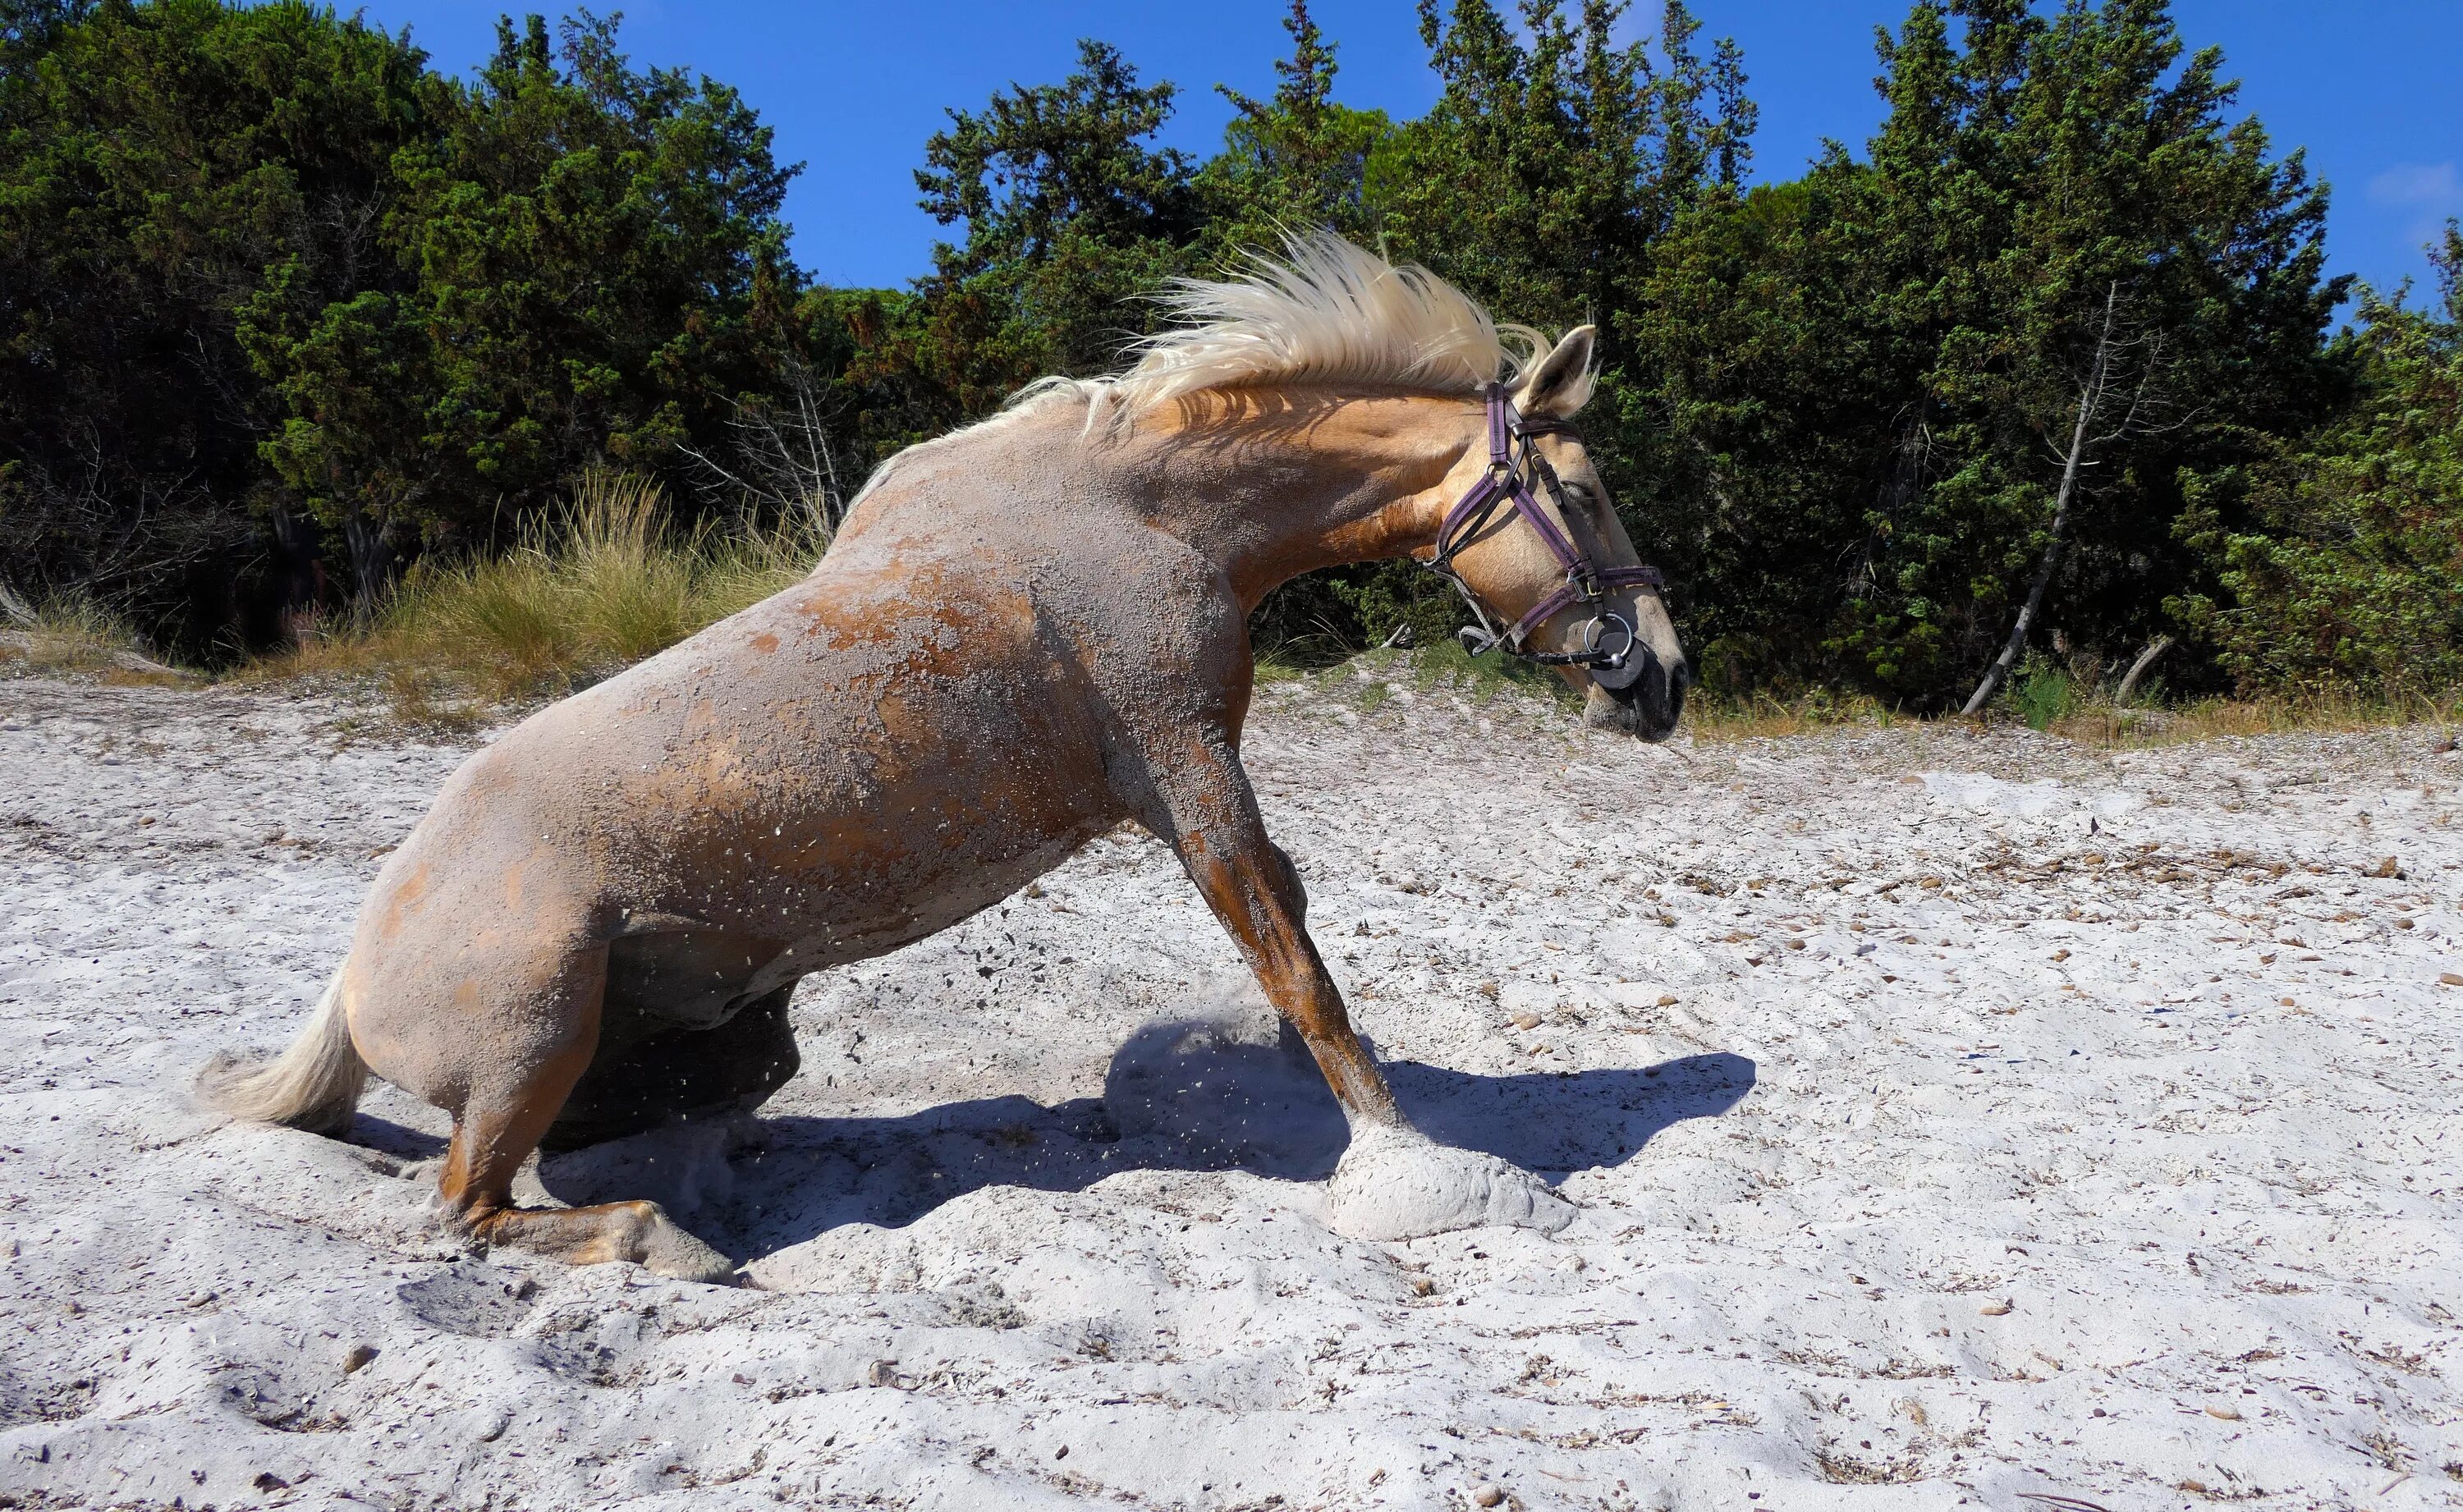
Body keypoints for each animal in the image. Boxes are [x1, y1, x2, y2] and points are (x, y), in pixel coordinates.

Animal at [202, 234, 1685, 1281]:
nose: (1661, 678)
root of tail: (353, 970)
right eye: (1587, 491)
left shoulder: (1198, 779)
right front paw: (1418, 1167)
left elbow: (1296, 935)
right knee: (465, 1206)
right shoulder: (1186, 772)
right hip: (535, 1037)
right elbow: (1297, 959)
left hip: (684, 1037)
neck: (1147, 517)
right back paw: (668, 1239)